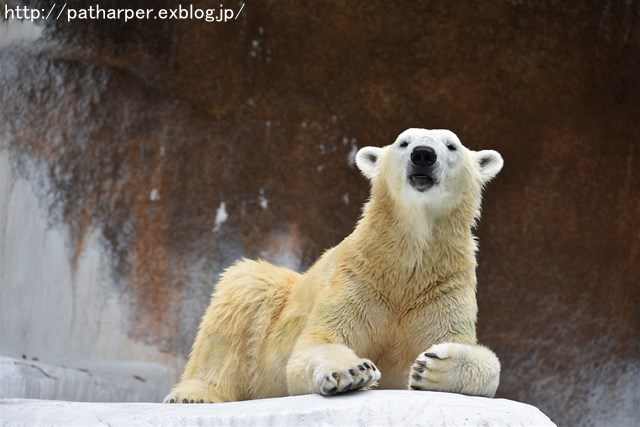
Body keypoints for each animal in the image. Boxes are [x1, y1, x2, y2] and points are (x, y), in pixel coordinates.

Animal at [165, 129, 504, 402]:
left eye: (451, 145)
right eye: (403, 142)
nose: (423, 155)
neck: (405, 264)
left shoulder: (441, 286)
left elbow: (475, 357)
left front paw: (433, 366)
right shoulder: (360, 279)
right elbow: (318, 343)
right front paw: (351, 372)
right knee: (243, 289)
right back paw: (194, 394)